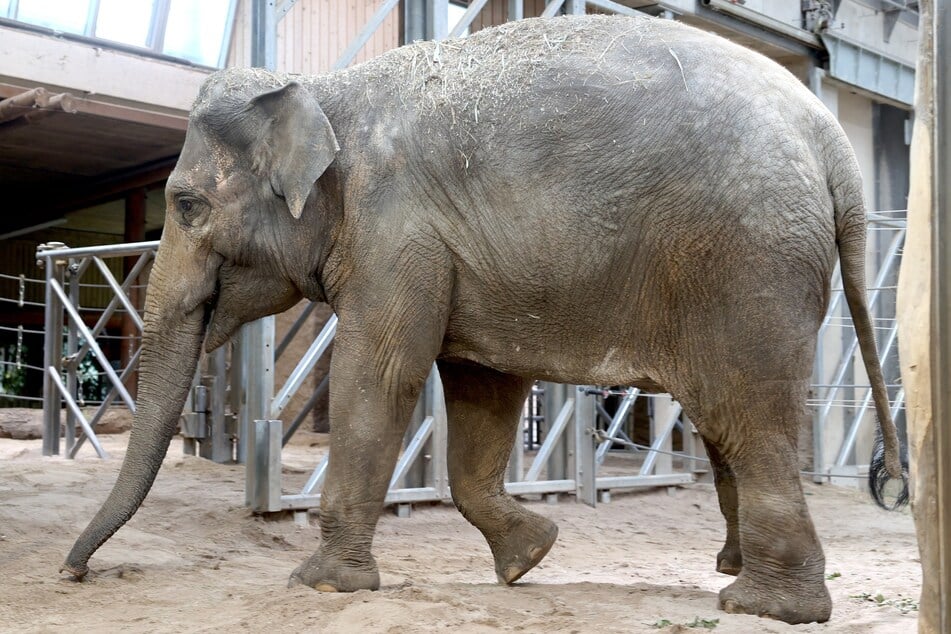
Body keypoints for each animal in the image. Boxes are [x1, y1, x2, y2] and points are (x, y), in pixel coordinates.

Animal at [63, 13, 904, 624]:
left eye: (185, 205)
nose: (74, 572)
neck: (323, 91)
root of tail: (831, 142)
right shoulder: (449, 252)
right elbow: (480, 390)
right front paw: (528, 558)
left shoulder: (394, 231)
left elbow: (377, 378)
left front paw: (321, 585)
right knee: (726, 426)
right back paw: (731, 573)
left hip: (743, 263)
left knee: (747, 419)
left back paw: (766, 606)